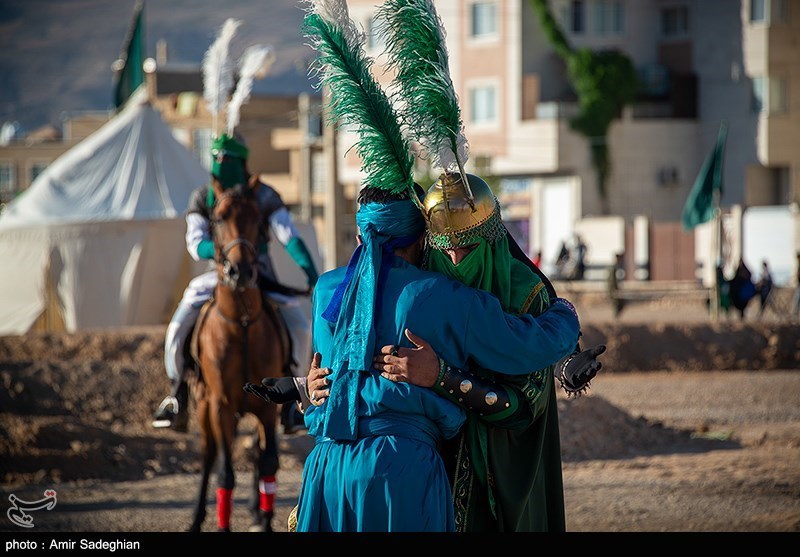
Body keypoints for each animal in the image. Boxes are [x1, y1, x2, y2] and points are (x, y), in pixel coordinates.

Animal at [186, 180, 290, 532]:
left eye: (257, 218)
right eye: (218, 219)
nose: (240, 271)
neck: (242, 323)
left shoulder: (269, 407)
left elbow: (269, 462)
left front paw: (266, 519)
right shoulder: (221, 405)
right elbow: (225, 473)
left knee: (258, 452)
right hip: (205, 407)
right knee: (208, 455)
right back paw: (196, 518)